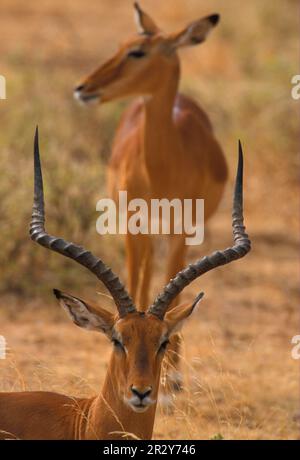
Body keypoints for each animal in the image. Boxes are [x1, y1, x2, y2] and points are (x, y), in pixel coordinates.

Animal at [74, 3, 227, 392]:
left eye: (138, 52)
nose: (83, 88)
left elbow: (175, 292)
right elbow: (136, 286)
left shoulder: (183, 231)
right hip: (141, 231)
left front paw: (172, 376)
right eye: (121, 44)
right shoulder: (132, 224)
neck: (162, 169)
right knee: (141, 281)